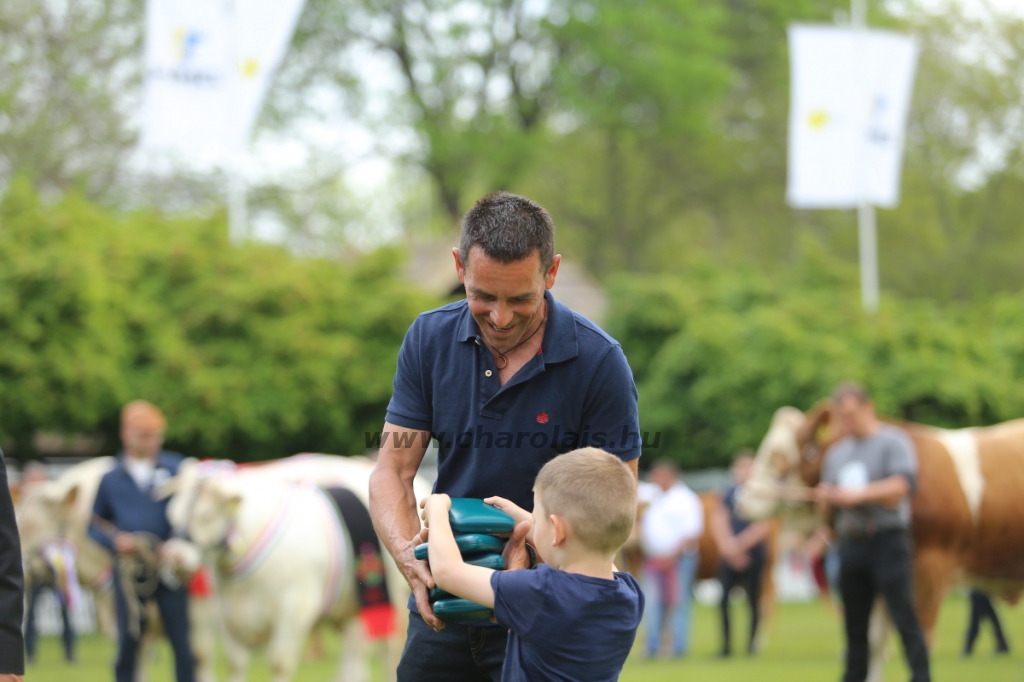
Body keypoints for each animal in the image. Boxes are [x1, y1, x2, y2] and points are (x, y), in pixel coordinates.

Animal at [161, 454, 425, 679]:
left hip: (387, 602)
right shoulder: (227, 619)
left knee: (387, 652)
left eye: (205, 516)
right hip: (351, 608)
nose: (173, 556)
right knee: (355, 658)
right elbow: (234, 664)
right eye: (172, 515)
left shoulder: (295, 612)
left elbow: (279, 662)